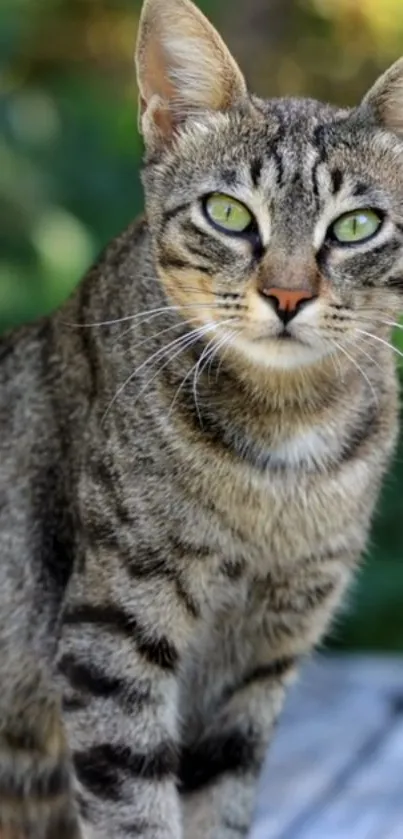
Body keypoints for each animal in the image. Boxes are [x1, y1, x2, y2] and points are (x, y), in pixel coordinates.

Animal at [0, 0, 403, 836]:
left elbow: (218, 803)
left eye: (354, 226)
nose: (287, 295)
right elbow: (135, 806)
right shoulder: (113, 631)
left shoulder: (260, 657)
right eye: (227, 213)